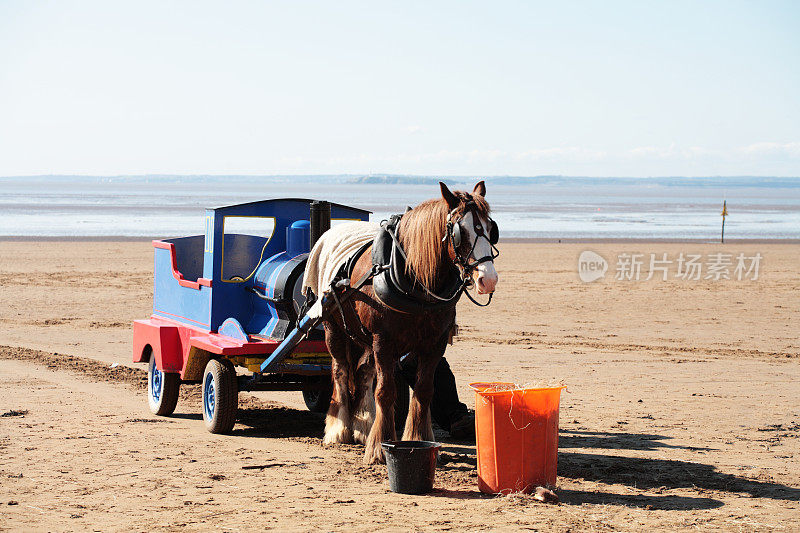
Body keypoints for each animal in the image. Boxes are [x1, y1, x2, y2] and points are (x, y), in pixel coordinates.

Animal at [320, 181, 496, 464]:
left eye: (491, 228)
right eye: (460, 231)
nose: (488, 279)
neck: (416, 284)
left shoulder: (434, 343)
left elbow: (424, 390)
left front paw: (417, 437)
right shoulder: (383, 341)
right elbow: (385, 391)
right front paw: (379, 446)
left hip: (365, 338)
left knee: (363, 372)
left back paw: (363, 425)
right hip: (334, 329)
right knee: (341, 370)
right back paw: (339, 428)